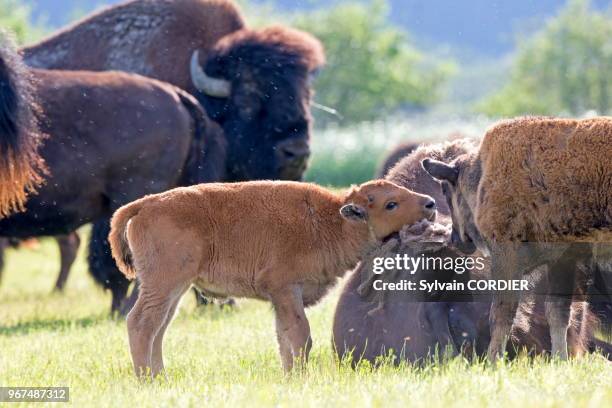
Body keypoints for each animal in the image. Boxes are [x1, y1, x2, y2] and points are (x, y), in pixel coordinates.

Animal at [424, 117, 612, 360]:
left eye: (446, 190)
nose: (455, 239)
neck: (483, 173)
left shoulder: (507, 255)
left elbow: (502, 314)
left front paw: (493, 361)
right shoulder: (562, 260)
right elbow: (558, 313)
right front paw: (560, 360)